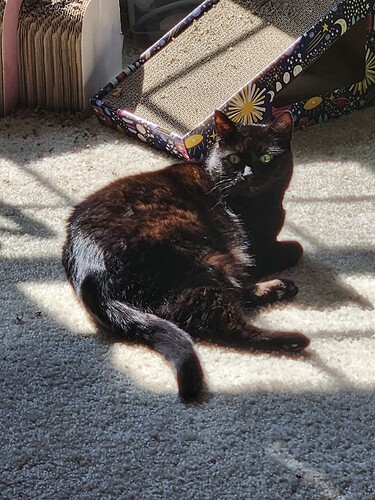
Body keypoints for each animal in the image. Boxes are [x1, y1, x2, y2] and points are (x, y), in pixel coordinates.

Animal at [62, 109, 308, 398]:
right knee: (225, 325)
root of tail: (87, 273)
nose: (248, 175)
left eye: (266, 158)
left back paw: (281, 289)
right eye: (234, 158)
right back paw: (294, 338)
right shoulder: (255, 252)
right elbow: (296, 248)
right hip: (201, 263)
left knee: (229, 299)